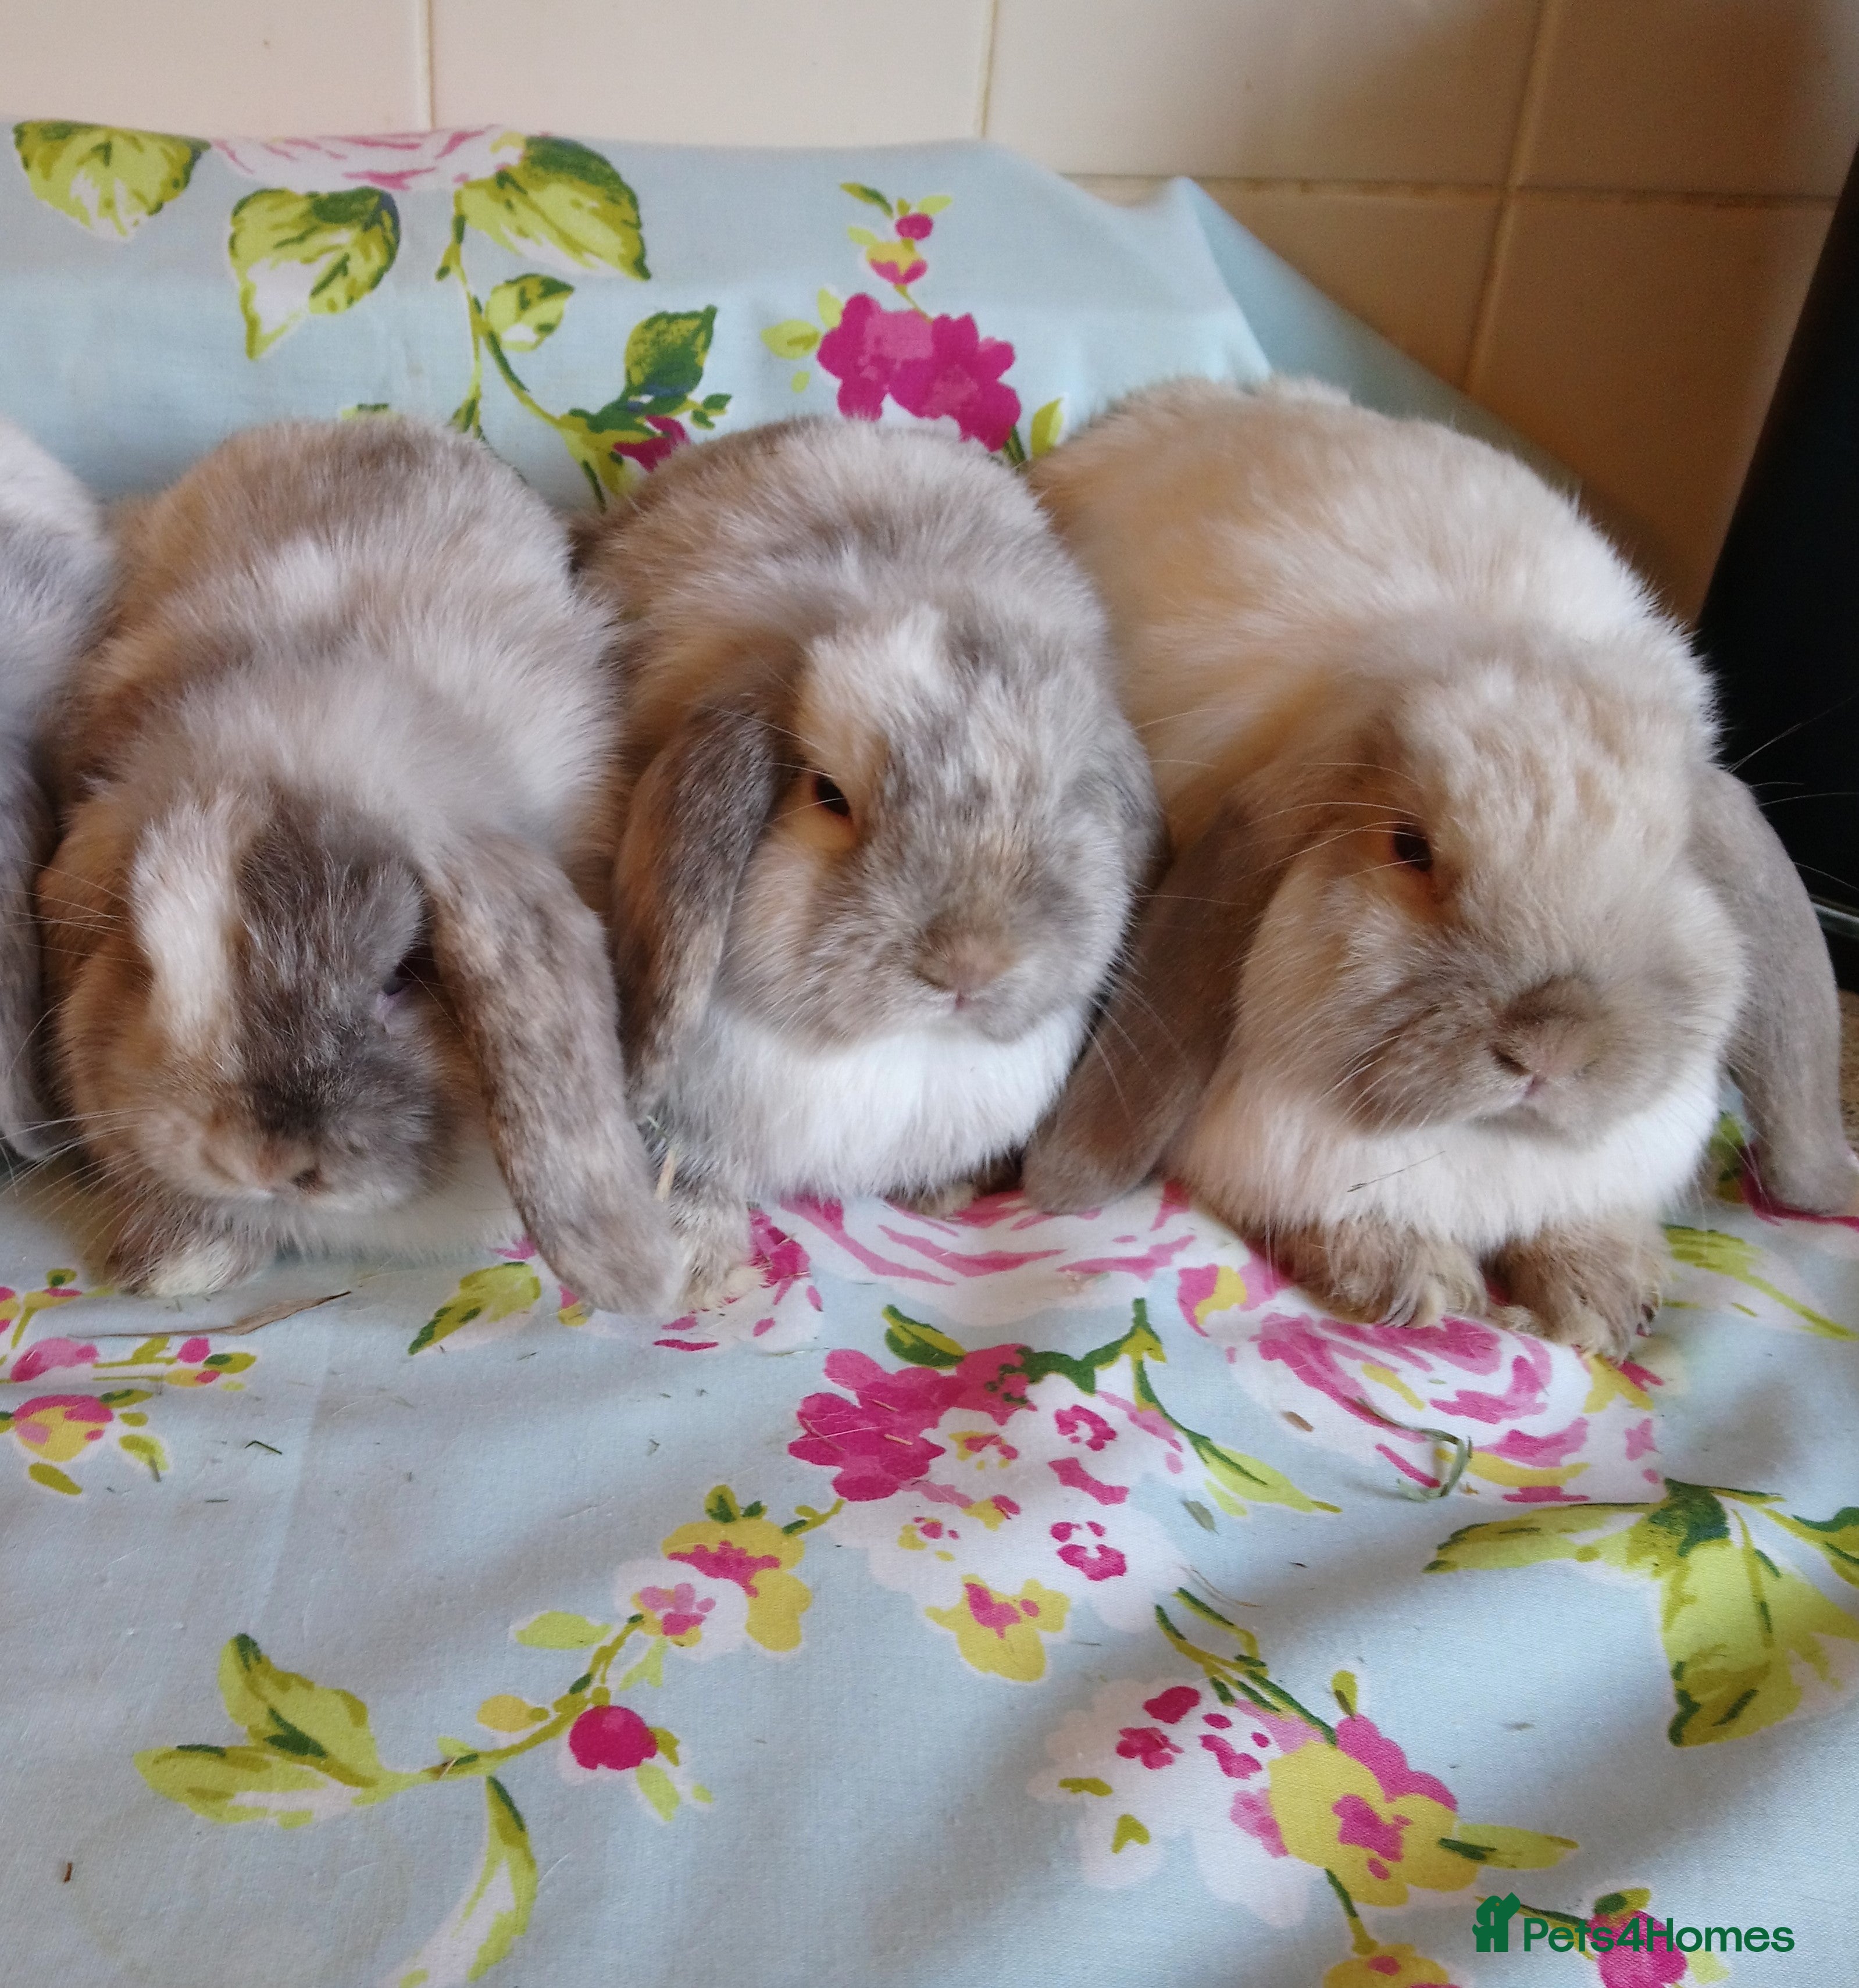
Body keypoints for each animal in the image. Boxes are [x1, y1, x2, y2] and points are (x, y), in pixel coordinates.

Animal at [573, 417, 1161, 1304]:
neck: (889, 1050)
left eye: (1064, 798)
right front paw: (697, 1265)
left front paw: (946, 1191)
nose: (968, 966)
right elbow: (694, 1172)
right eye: (828, 795)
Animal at [1021, 377, 1859, 1360]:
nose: (1553, 1043)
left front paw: (1603, 1296)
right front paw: (1409, 1278)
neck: (1484, 1144)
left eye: (1673, 856)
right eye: (1410, 848)